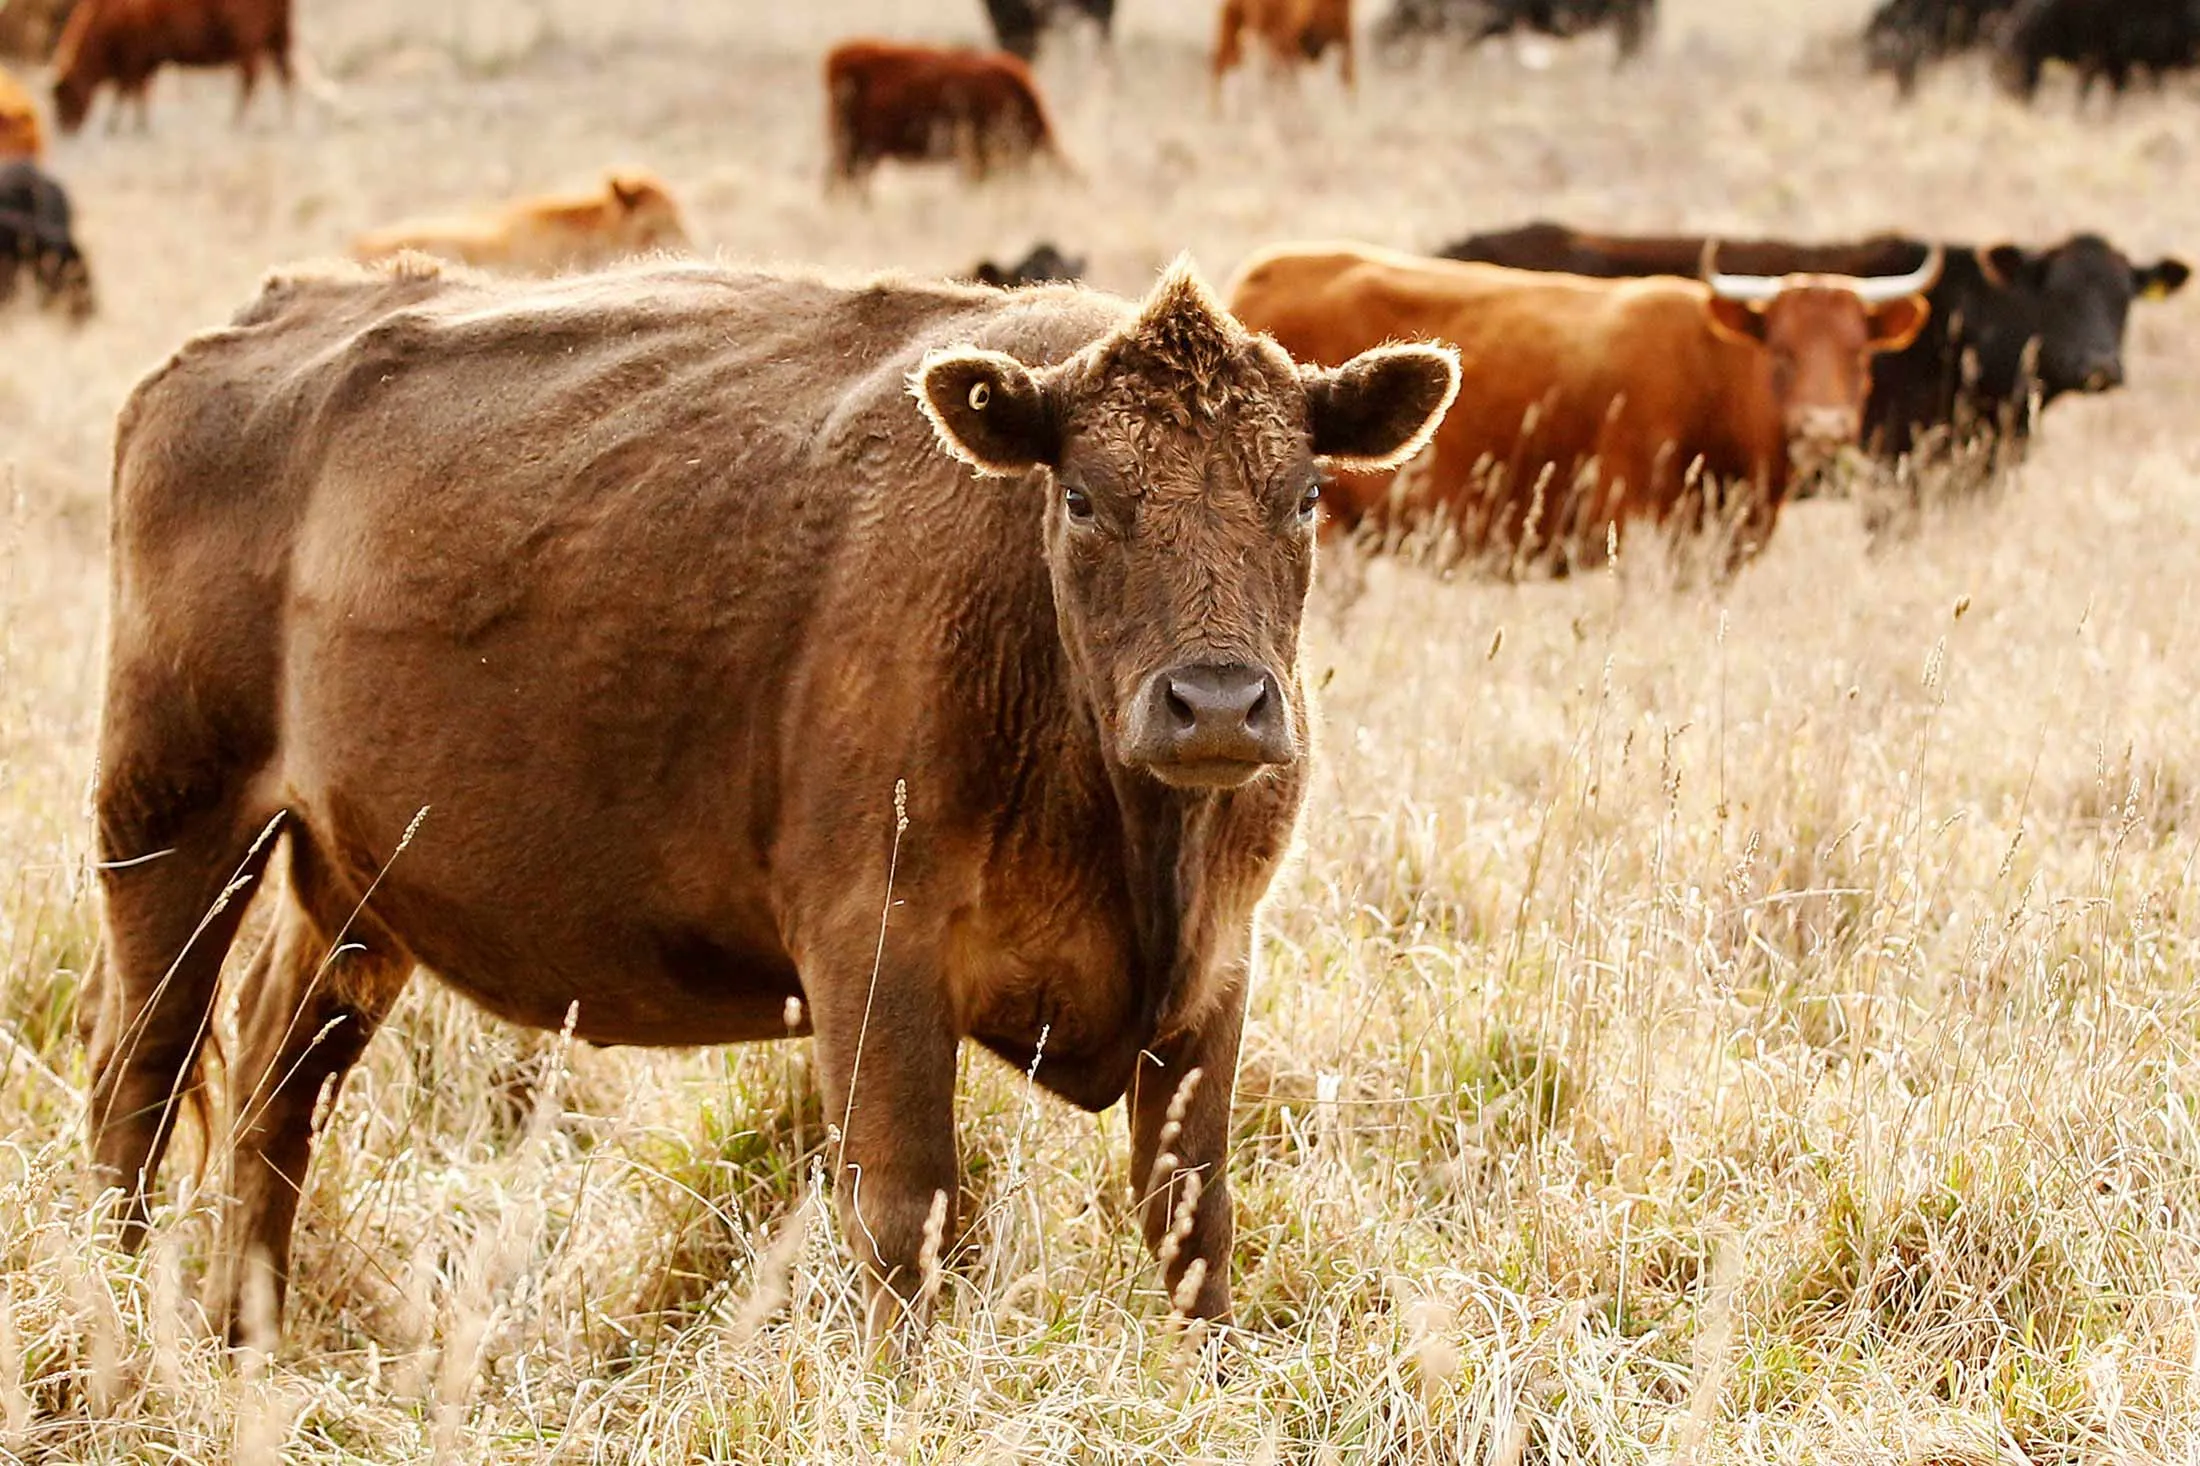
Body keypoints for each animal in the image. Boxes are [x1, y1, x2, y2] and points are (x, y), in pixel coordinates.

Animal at [52, 0, 293, 133]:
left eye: (63, 95)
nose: (65, 129)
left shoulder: (134, 60)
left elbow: (128, 92)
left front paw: (115, 126)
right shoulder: (146, 63)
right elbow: (140, 93)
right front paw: (140, 126)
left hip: (248, 45)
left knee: (250, 79)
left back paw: (238, 122)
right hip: (277, 38)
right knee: (286, 75)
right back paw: (284, 120)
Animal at [84, 253, 1458, 1345]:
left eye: (1304, 493)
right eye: (1081, 496)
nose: (1217, 703)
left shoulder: (1214, 972)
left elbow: (1193, 1222)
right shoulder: (875, 955)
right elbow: (907, 1217)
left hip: (355, 888)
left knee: (274, 1084)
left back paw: (248, 1336)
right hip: (171, 823)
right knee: (139, 1076)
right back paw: (116, 1325)